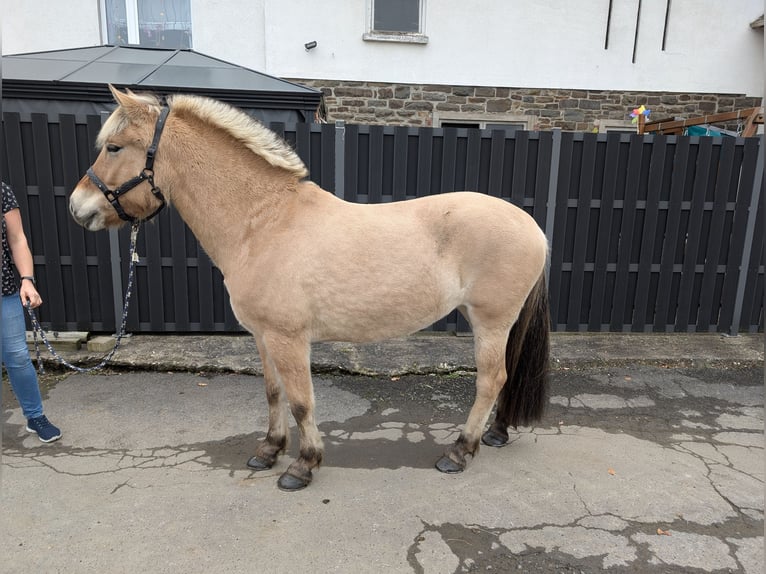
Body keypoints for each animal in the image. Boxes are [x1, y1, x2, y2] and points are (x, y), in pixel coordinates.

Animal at [70, 86, 552, 496]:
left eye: (114, 147)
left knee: (491, 379)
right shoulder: (263, 337)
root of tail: (532, 226)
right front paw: (269, 450)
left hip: (490, 321)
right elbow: (274, 393)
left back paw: (460, 451)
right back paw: (495, 434)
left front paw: (303, 465)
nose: (77, 208)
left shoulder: (289, 339)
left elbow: (302, 402)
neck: (263, 221)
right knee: (505, 375)